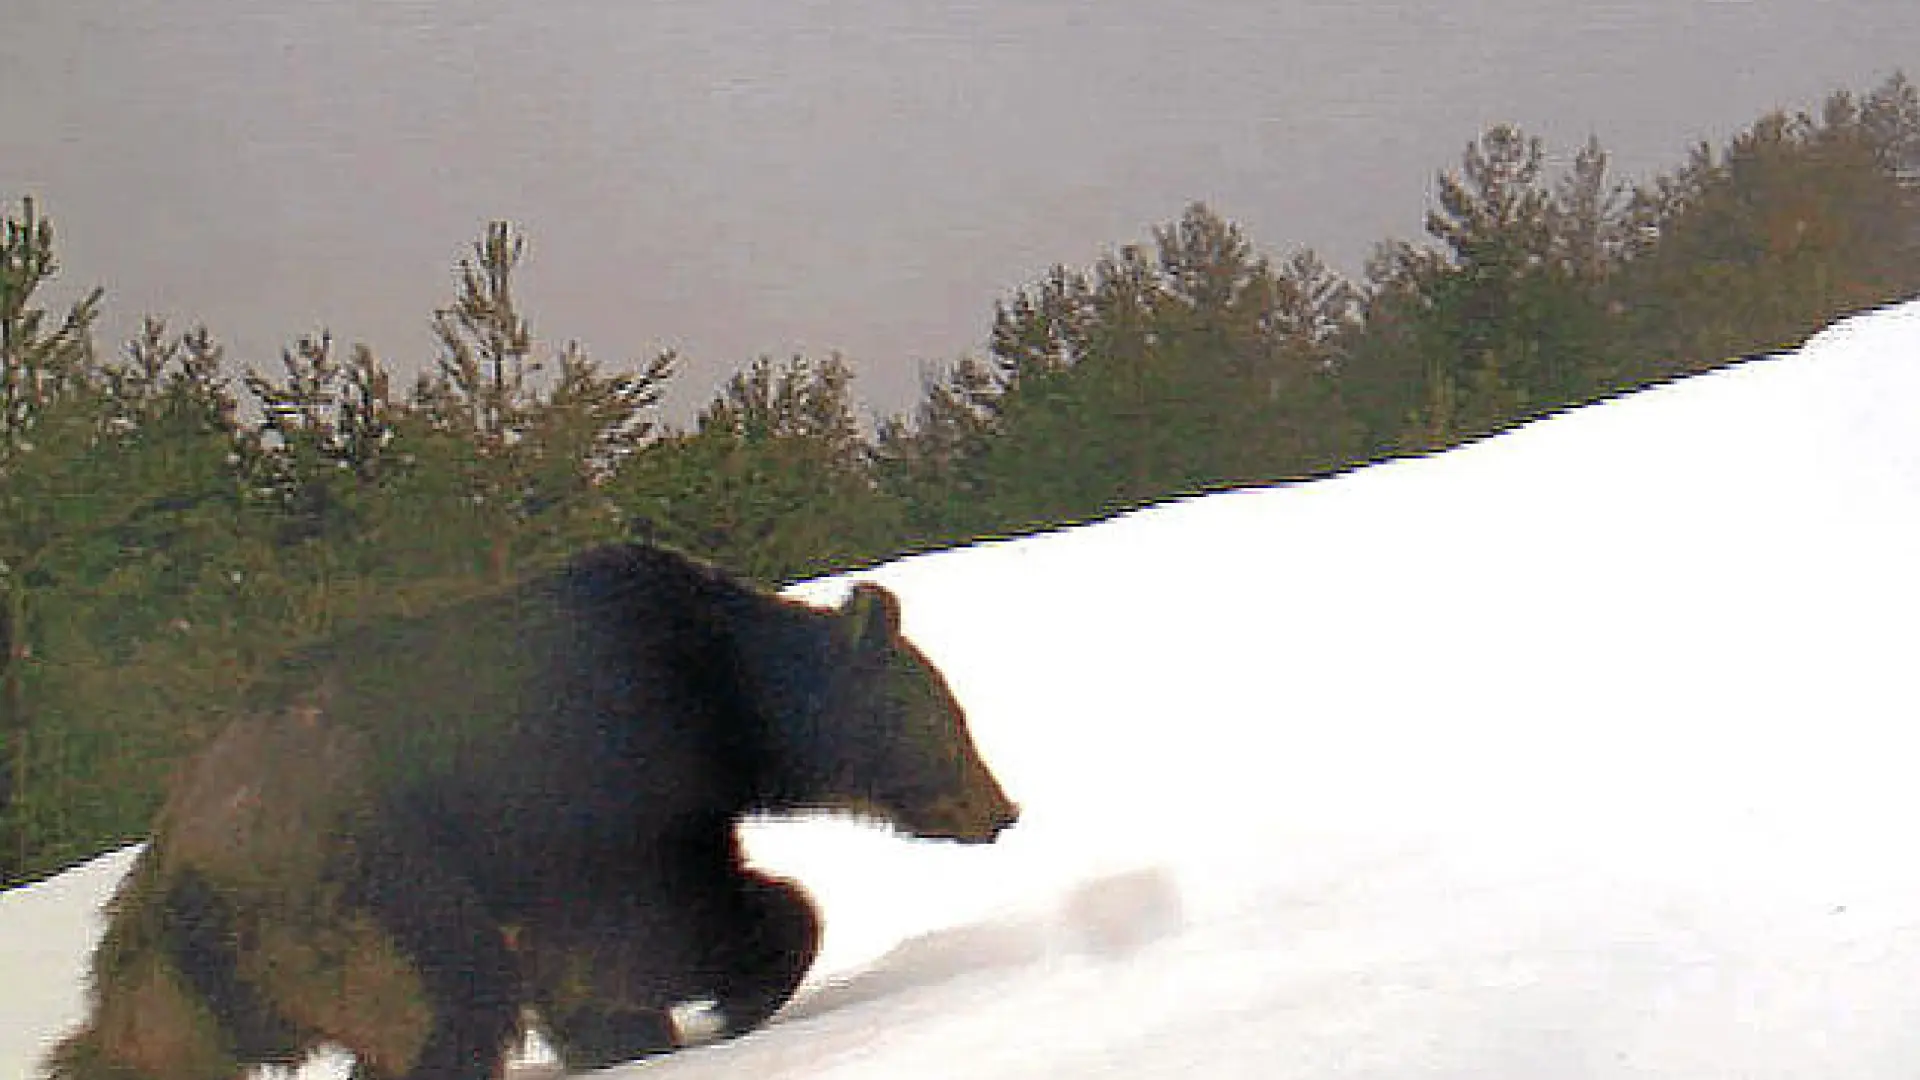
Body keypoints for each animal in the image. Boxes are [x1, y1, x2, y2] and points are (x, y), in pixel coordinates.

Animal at [45, 541, 1021, 1076]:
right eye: (950, 719)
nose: (1002, 809)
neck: (725, 700)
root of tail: (175, 862)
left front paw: (629, 1033)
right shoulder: (604, 783)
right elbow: (657, 921)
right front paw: (732, 994)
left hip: (189, 969)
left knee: (136, 1048)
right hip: (358, 893)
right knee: (444, 998)